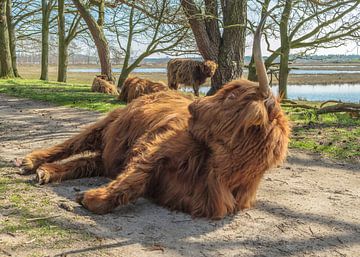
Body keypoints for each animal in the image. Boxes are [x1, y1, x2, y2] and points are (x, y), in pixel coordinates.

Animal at [19, 18, 290, 218]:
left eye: (232, 96)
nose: (194, 105)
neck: (219, 168)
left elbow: (137, 181)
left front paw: (90, 196)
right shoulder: (155, 145)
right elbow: (137, 175)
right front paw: (93, 198)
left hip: (110, 153)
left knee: (87, 161)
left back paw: (46, 172)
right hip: (106, 124)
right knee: (70, 144)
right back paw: (30, 162)